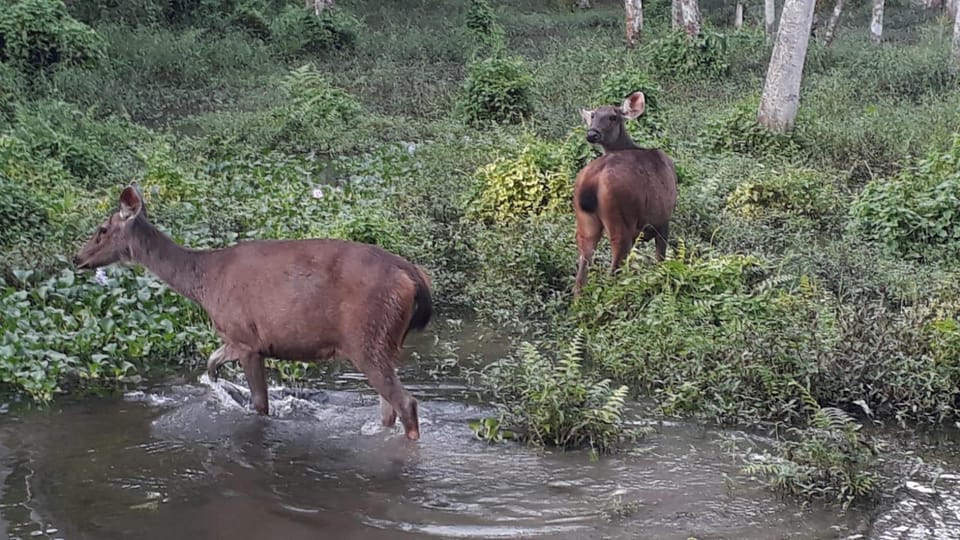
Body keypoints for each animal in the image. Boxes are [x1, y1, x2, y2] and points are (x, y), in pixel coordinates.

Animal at [75, 185, 432, 438]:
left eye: (102, 229)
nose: (77, 257)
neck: (203, 283)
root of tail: (413, 276)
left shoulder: (248, 341)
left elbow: (260, 405)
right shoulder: (237, 339)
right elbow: (211, 364)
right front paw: (224, 391)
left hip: (366, 337)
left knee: (406, 403)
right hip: (387, 342)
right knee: (388, 409)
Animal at [572, 92, 680, 296]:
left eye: (613, 117)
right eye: (593, 115)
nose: (592, 134)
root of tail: (592, 179)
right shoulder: (663, 220)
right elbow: (660, 260)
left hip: (585, 224)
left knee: (581, 275)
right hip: (621, 222)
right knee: (613, 271)